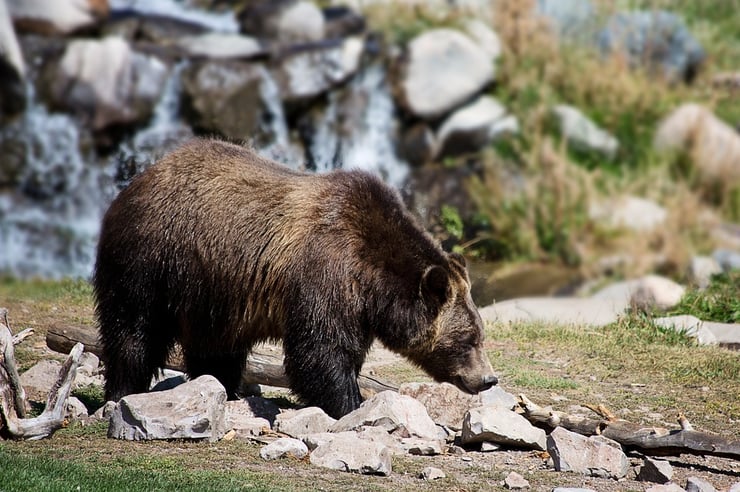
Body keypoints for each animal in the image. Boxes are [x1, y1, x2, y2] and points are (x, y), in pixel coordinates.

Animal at [93, 138, 497, 419]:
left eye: (480, 334)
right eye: (469, 339)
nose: (488, 379)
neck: (373, 280)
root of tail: (139, 179)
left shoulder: (356, 306)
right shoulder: (326, 272)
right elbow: (320, 351)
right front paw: (350, 404)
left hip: (212, 289)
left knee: (216, 346)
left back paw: (223, 387)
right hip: (152, 258)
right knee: (134, 328)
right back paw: (123, 390)